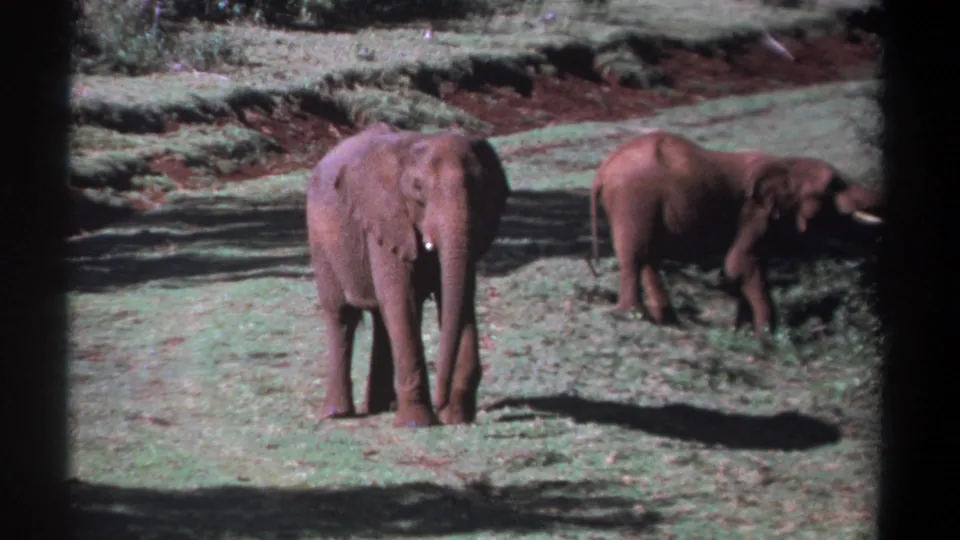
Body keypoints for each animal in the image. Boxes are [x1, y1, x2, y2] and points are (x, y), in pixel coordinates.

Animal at [306, 122, 510, 428]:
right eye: (417, 188)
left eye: (479, 186)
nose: (442, 402)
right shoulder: (384, 218)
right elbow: (401, 300)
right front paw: (418, 423)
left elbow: (458, 298)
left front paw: (457, 417)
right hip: (321, 241)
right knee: (342, 315)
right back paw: (337, 414)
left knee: (381, 317)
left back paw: (382, 406)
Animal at [589, 131, 883, 344]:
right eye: (834, 186)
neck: (786, 164)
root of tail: (604, 169)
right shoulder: (754, 212)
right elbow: (739, 264)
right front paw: (768, 340)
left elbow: (749, 267)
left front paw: (744, 333)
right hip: (634, 199)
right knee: (635, 257)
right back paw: (634, 315)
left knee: (649, 258)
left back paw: (667, 320)